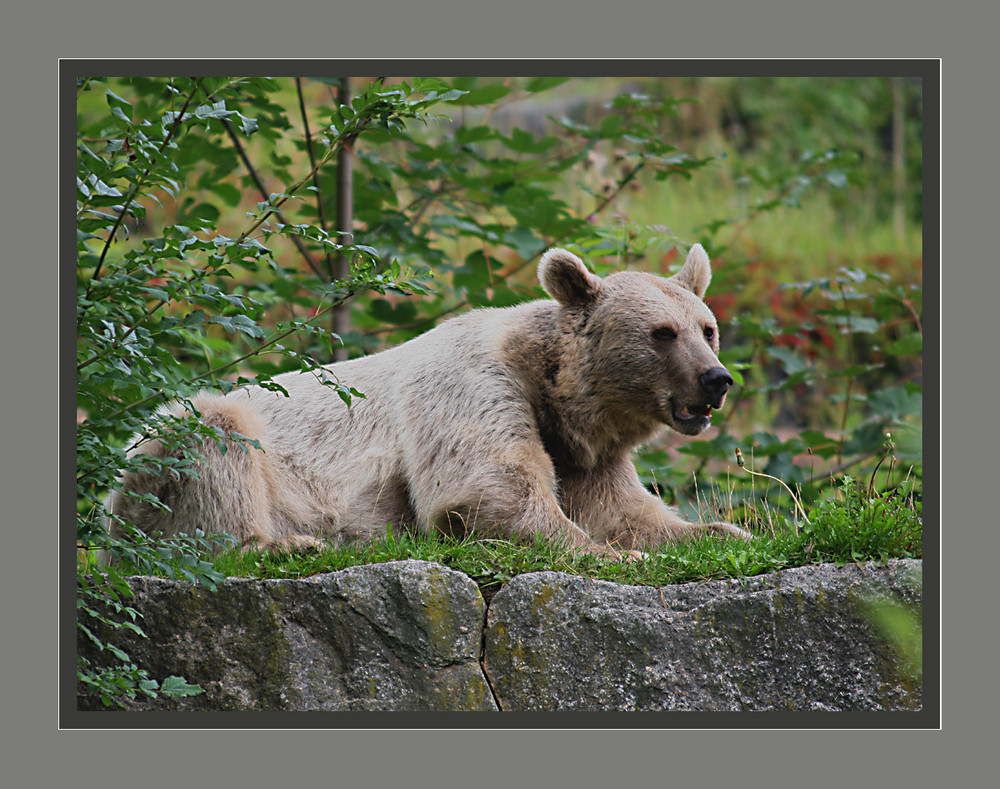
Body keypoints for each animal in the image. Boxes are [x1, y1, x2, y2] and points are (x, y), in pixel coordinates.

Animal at [107, 242, 752, 560]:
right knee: (216, 444)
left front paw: (723, 531)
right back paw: (280, 544)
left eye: (707, 328)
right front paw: (608, 555)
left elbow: (627, 511)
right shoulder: (471, 388)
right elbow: (488, 488)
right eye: (662, 333)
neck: (552, 390)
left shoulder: (585, 453)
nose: (716, 379)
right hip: (168, 459)